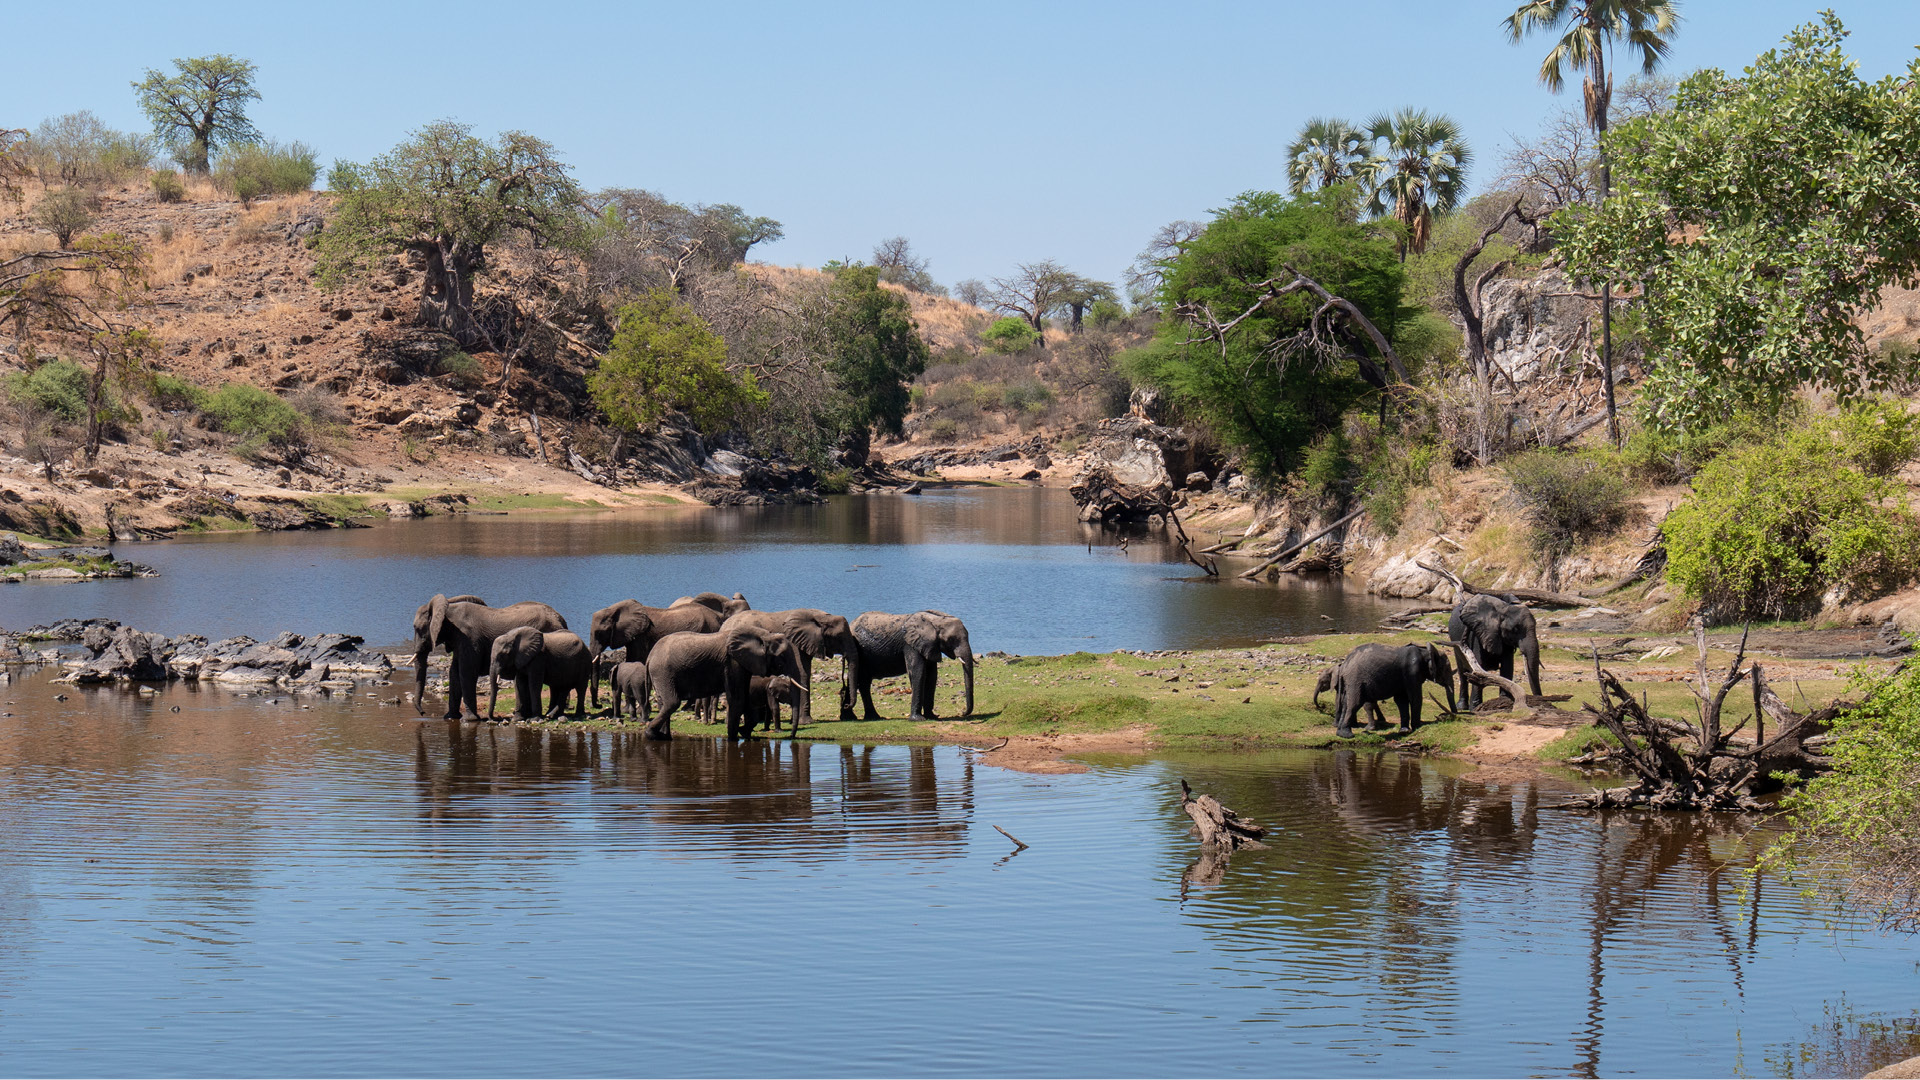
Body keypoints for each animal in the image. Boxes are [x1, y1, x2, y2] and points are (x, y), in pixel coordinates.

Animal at [410, 591, 564, 718]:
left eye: (417, 628)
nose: (423, 713)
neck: (448, 610)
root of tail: (561, 619)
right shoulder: (459, 640)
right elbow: (454, 672)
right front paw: (450, 717)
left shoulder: (469, 639)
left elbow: (466, 672)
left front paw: (469, 719)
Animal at [637, 618, 802, 734]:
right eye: (782, 656)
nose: (791, 737)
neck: (762, 635)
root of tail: (649, 657)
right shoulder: (732, 662)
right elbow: (738, 699)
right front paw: (734, 737)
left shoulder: (743, 664)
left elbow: (744, 698)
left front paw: (743, 732)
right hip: (663, 673)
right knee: (671, 702)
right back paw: (650, 733)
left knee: (664, 703)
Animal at [721, 607, 856, 722]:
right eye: (838, 637)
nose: (846, 705)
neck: (820, 616)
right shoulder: (794, 642)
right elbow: (802, 674)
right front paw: (806, 722)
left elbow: (805, 672)